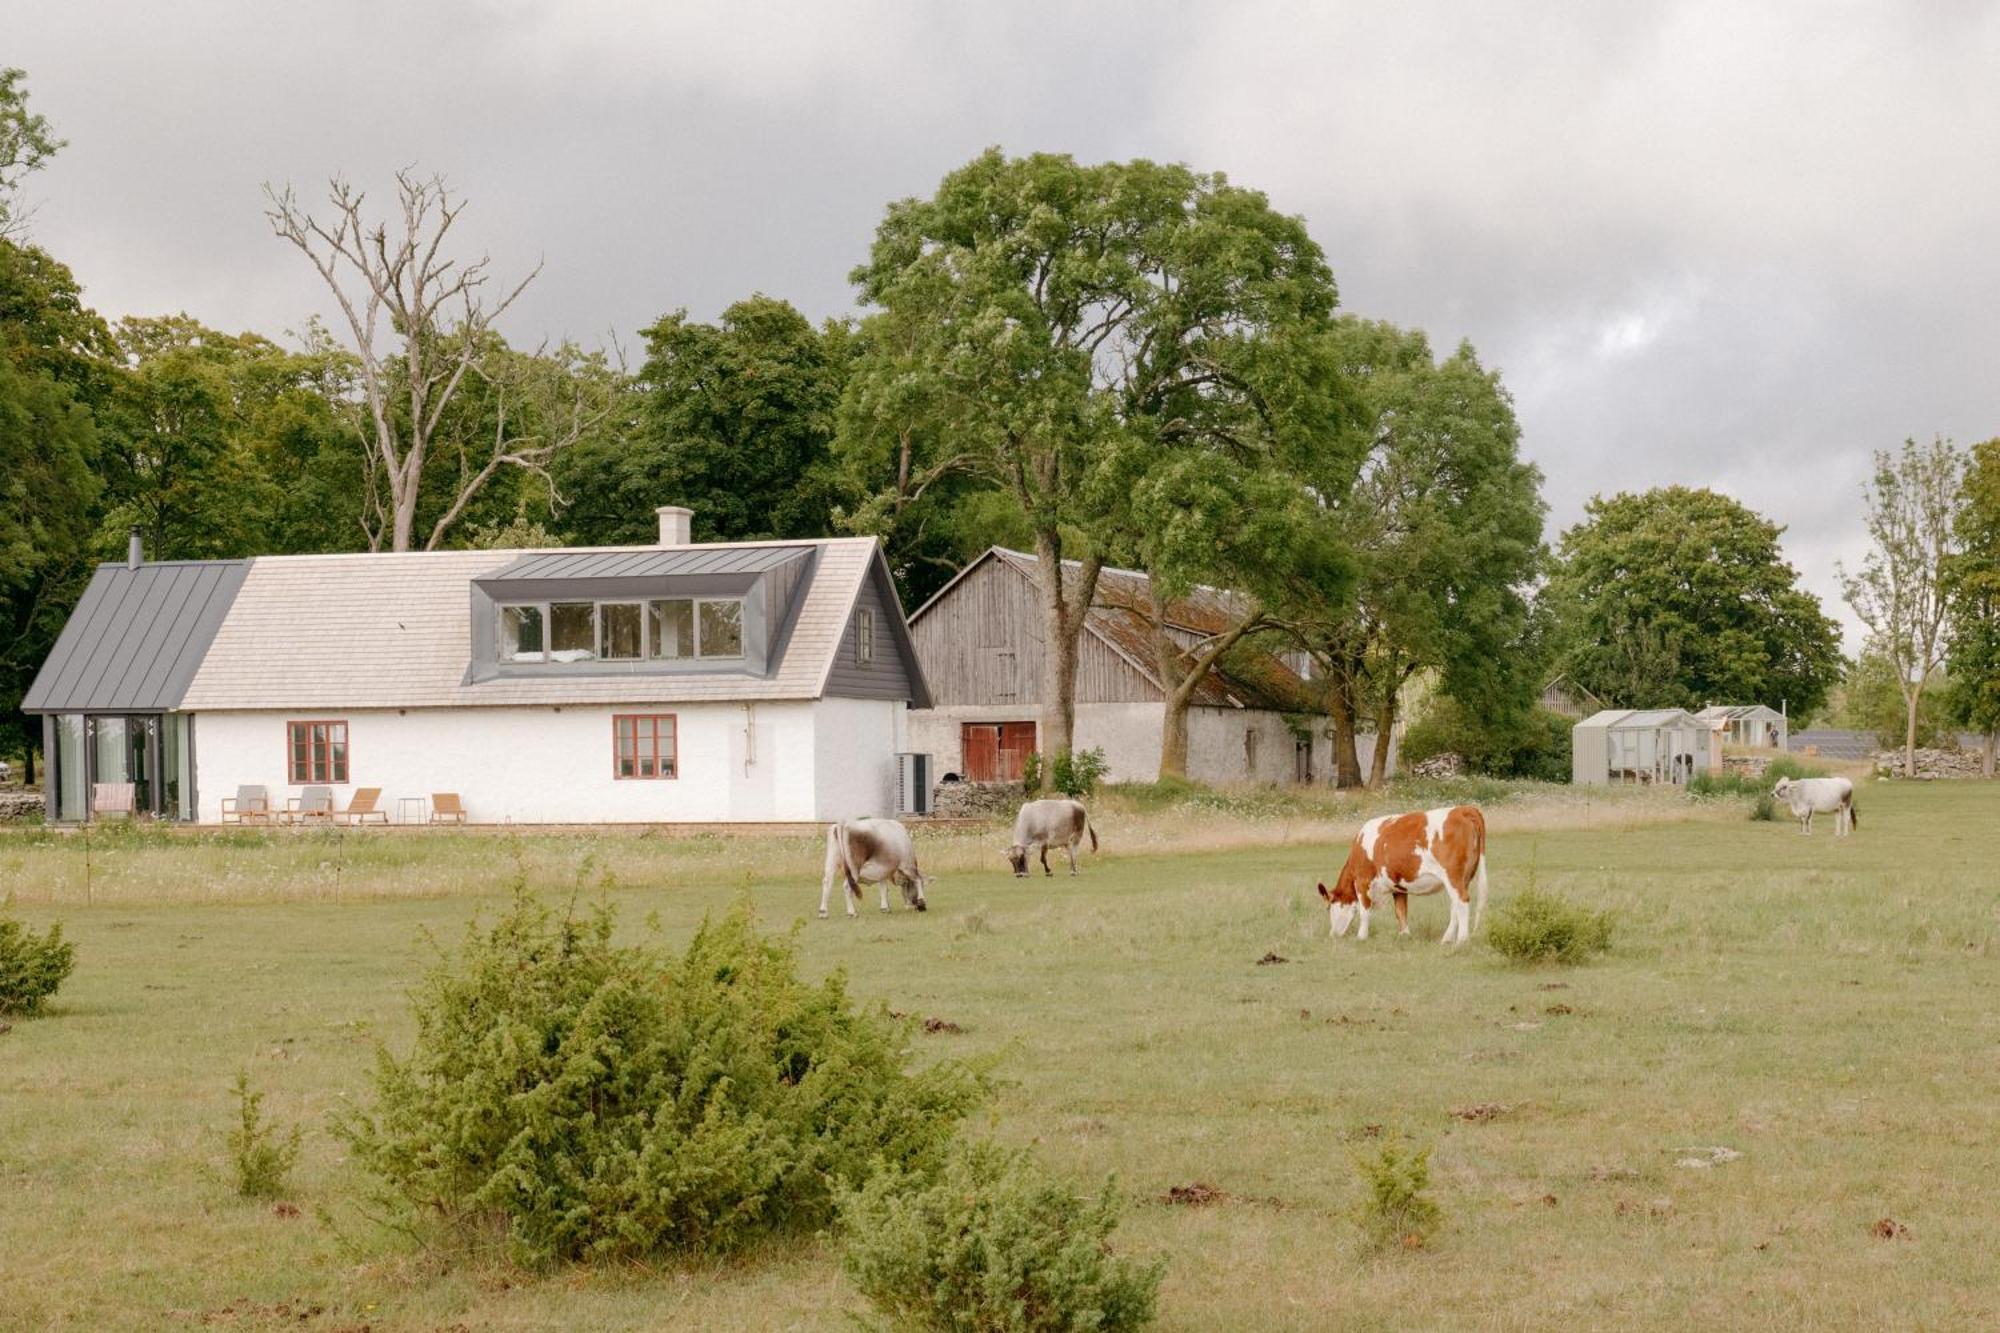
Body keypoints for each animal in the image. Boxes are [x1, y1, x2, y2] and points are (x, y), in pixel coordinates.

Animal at [1312, 804, 1488, 940]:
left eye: (1328, 908)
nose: (1332, 934)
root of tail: (1462, 809)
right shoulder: (1398, 887)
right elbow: (1400, 911)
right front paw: (1405, 935)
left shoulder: (1362, 881)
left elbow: (1364, 911)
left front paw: (1361, 937)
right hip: (1464, 878)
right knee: (1455, 905)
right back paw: (1446, 939)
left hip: (1452, 876)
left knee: (1462, 901)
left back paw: (1461, 940)